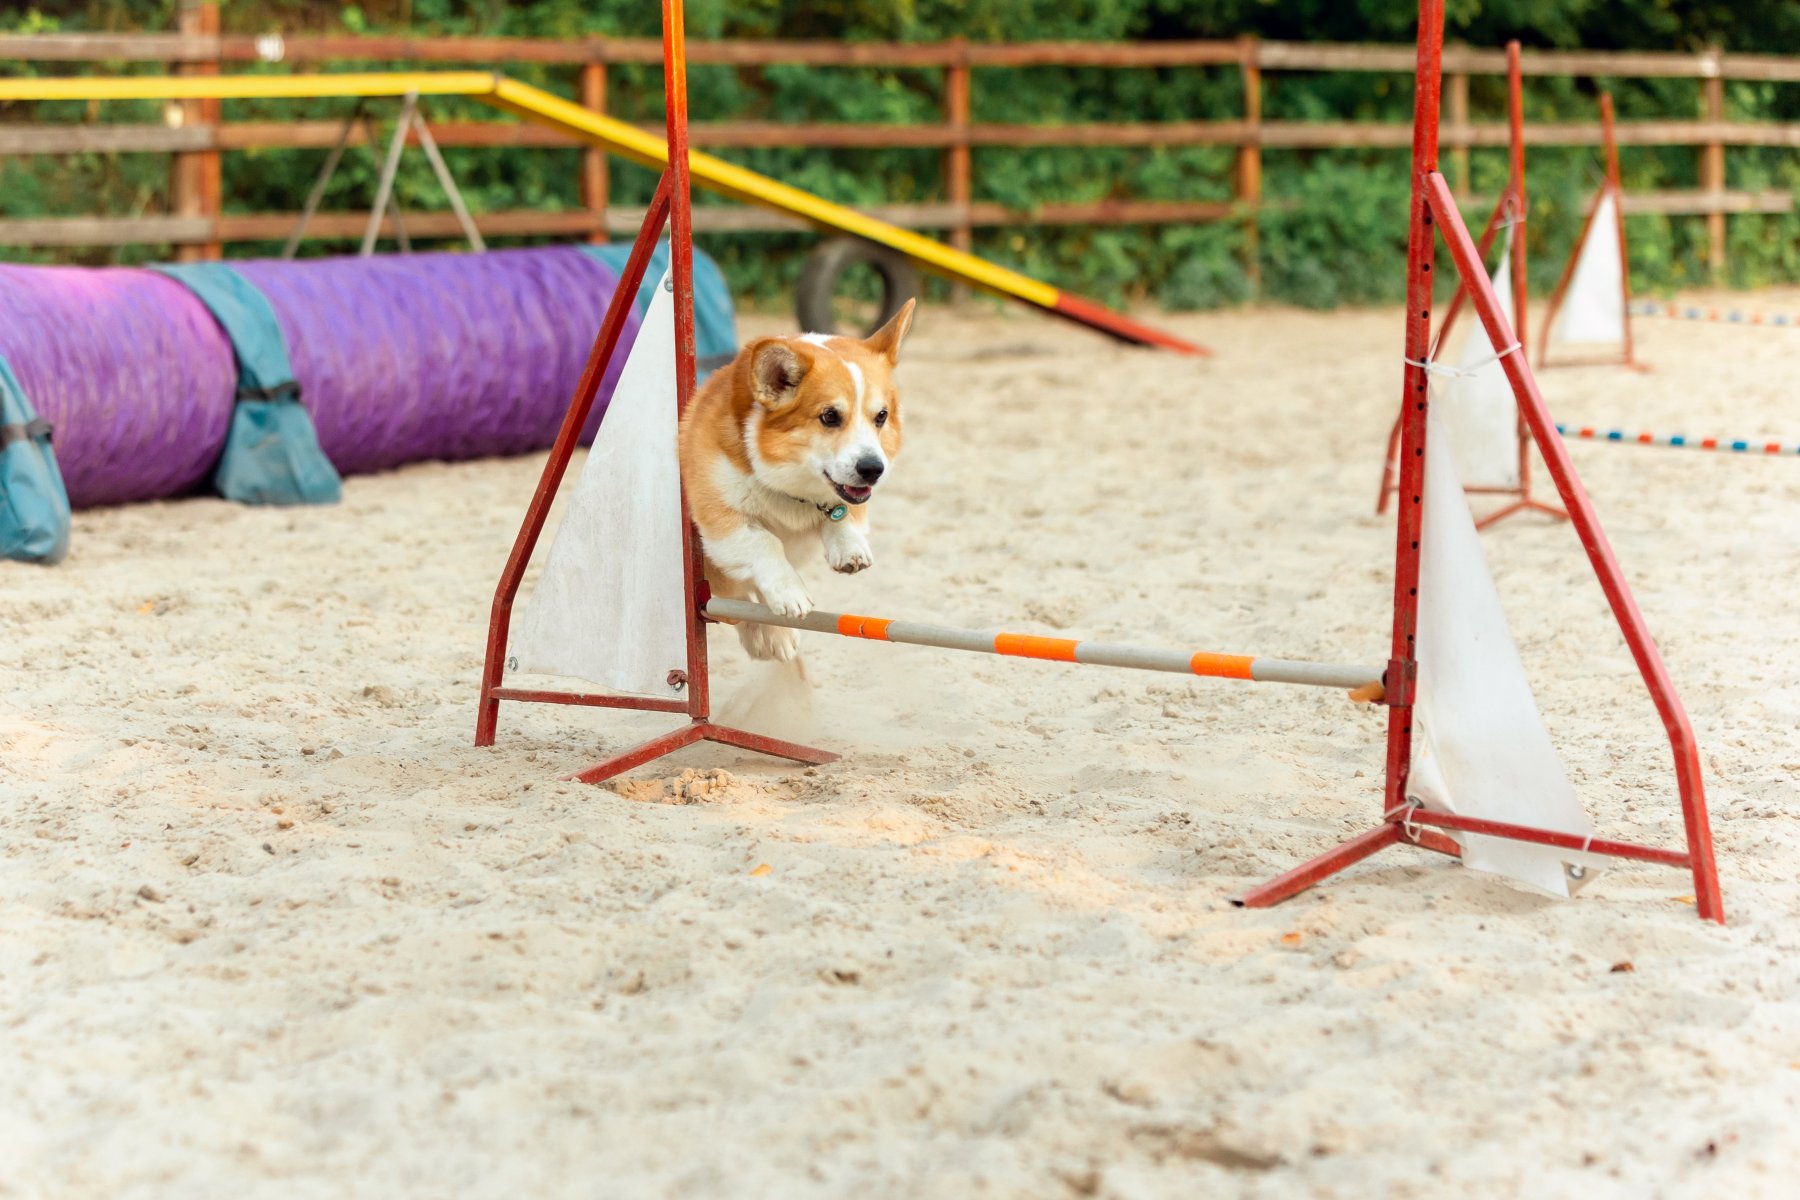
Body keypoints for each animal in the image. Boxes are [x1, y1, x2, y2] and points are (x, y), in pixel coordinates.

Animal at [676, 296, 914, 662]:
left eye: (881, 416)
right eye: (829, 416)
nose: (873, 470)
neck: (790, 489)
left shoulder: (849, 496)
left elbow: (843, 514)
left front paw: (849, 547)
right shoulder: (720, 521)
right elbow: (764, 542)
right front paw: (789, 594)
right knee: (731, 603)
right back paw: (768, 635)